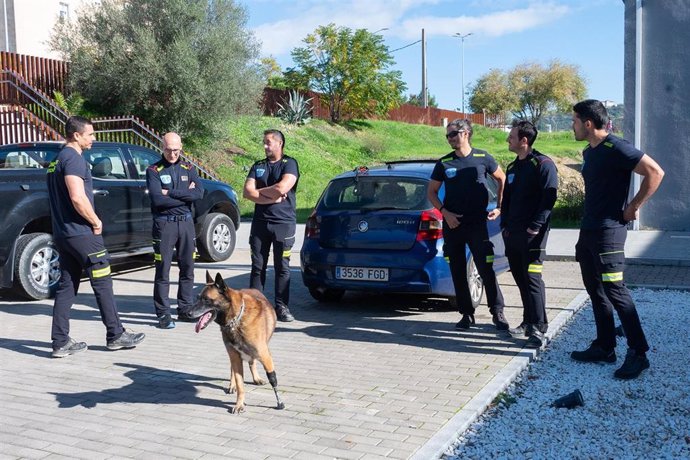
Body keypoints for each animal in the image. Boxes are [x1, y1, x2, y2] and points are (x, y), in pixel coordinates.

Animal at [187, 270, 284, 414]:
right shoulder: (235, 356)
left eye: (206, 300)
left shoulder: (266, 357)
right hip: (233, 355)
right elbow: (240, 385)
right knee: (233, 368)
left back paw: (256, 378)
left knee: (252, 362)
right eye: (198, 298)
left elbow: (273, 380)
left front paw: (280, 402)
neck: (236, 320)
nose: (187, 313)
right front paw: (239, 404)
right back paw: (231, 385)